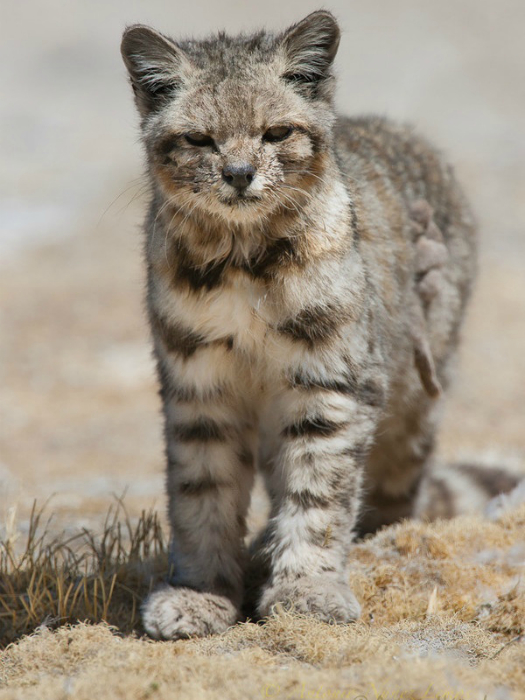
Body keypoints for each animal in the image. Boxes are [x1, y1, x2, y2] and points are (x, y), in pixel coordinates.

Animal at [119, 9, 520, 640]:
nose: (238, 173)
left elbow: (318, 493)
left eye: (275, 133)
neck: (243, 262)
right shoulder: (198, 385)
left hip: (414, 399)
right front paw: (200, 592)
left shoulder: (329, 381)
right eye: (199, 139)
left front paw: (306, 588)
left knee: (395, 486)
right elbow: (200, 494)